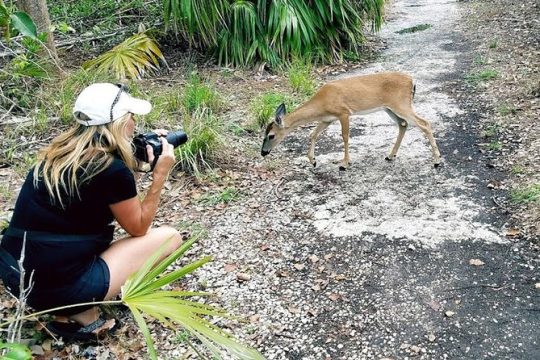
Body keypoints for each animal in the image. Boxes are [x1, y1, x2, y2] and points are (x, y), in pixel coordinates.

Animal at [260, 72, 440, 171]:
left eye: (271, 136)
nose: (263, 152)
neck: (322, 103)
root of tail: (412, 80)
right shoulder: (327, 119)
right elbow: (312, 134)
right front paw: (313, 161)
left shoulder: (343, 112)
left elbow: (345, 136)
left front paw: (345, 163)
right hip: (389, 107)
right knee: (403, 124)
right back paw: (390, 155)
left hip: (401, 103)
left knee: (424, 123)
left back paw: (437, 160)